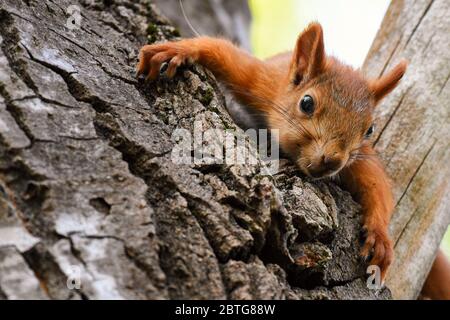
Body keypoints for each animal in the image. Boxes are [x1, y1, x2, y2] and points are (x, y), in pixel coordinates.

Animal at [135, 23, 406, 280]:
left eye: (370, 130)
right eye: (306, 103)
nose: (332, 160)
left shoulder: (358, 158)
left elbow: (376, 184)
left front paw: (379, 235)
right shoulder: (261, 81)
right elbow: (222, 52)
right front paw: (179, 50)